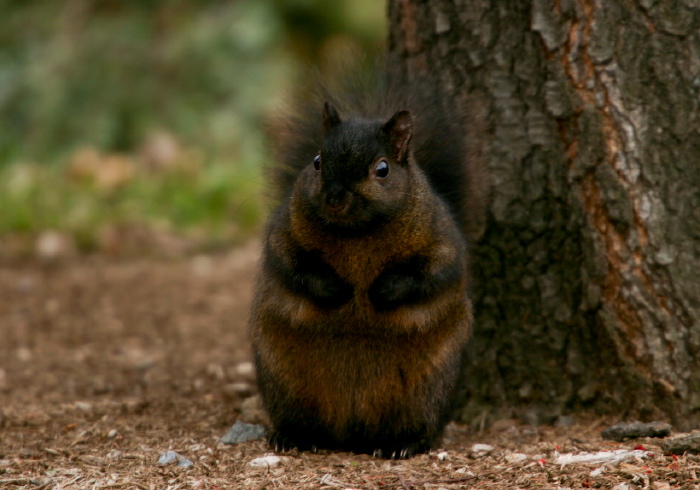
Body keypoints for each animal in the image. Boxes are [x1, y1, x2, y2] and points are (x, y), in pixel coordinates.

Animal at [250, 65, 486, 460]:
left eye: (383, 169)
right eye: (317, 161)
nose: (333, 199)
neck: (358, 233)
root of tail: (351, 434)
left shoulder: (443, 242)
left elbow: (431, 274)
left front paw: (380, 291)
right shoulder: (282, 235)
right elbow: (293, 268)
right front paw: (337, 289)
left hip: (425, 393)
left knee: (416, 426)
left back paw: (401, 444)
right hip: (284, 381)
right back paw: (293, 436)